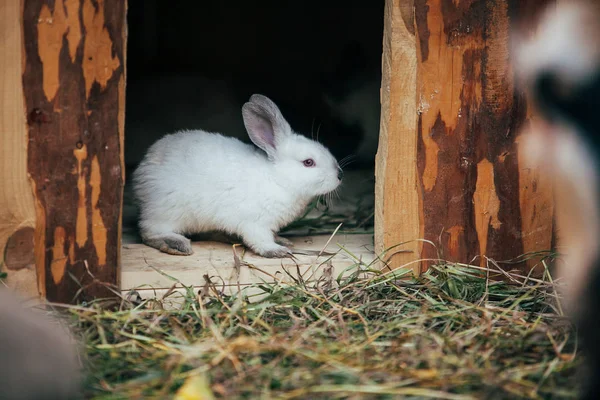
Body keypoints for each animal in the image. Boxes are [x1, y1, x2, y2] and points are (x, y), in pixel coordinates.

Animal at [134, 93, 344, 258]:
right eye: (308, 162)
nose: (339, 175)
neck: (277, 179)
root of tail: (141, 173)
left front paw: (282, 241)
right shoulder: (255, 223)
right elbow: (260, 240)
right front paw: (277, 251)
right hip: (166, 212)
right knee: (149, 232)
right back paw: (177, 244)